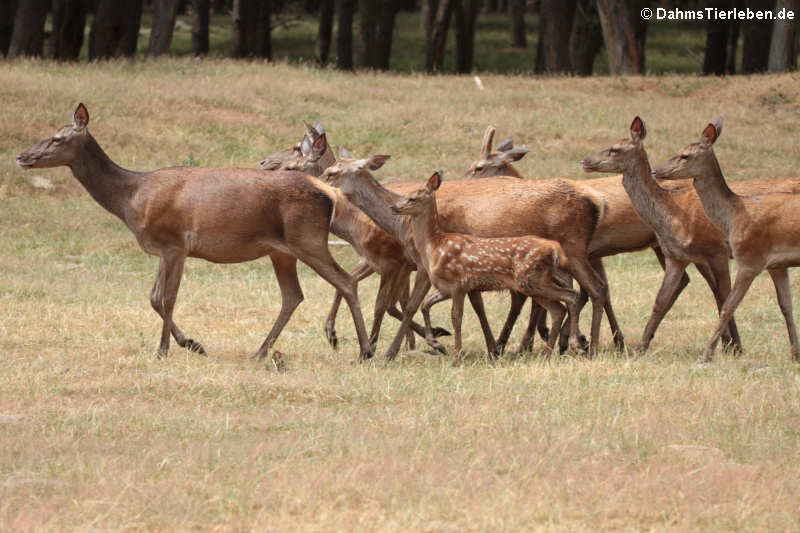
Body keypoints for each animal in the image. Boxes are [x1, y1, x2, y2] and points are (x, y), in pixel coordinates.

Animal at [15, 103, 376, 362]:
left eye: (58, 138)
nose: (22, 156)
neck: (131, 199)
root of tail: (327, 194)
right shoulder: (162, 249)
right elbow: (153, 297)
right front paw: (192, 343)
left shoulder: (174, 242)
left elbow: (166, 297)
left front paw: (163, 350)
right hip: (282, 251)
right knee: (293, 295)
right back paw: (260, 352)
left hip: (308, 239)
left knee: (345, 281)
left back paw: (364, 350)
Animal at [390, 171, 580, 362]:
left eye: (412, 198)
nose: (393, 207)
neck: (434, 247)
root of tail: (555, 249)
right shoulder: (444, 288)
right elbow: (425, 305)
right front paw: (436, 343)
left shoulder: (459, 283)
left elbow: (456, 318)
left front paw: (457, 357)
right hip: (538, 281)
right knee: (560, 307)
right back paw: (548, 353)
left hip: (531, 280)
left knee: (570, 298)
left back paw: (572, 345)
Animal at [580, 116, 744, 350]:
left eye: (615, 149)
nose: (585, 161)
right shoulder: (677, 256)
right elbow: (660, 300)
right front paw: (640, 347)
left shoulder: (717, 250)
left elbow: (725, 296)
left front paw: (736, 346)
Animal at [652, 119, 800, 362]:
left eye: (685, 155)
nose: (655, 170)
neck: (734, 216)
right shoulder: (777, 265)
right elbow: (786, 306)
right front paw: (795, 354)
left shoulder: (750, 259)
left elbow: (728, 306)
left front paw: (707, 354)